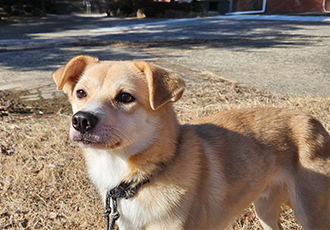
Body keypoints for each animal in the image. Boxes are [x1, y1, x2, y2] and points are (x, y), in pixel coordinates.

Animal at [53, 55, 330, 230]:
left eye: (125, 97)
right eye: (80, 93)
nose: (81, 121)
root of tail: (313, 120)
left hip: (310, 214)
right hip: (264, 209)